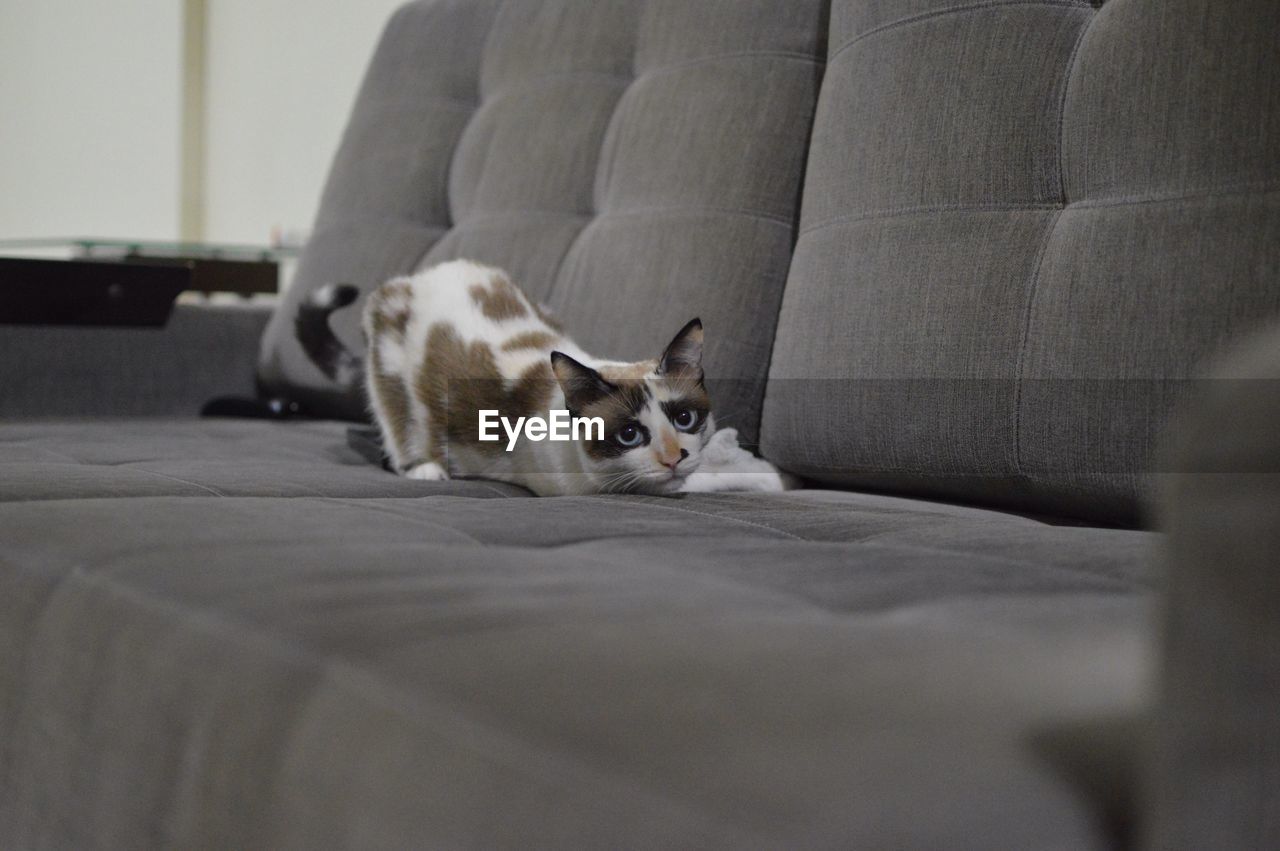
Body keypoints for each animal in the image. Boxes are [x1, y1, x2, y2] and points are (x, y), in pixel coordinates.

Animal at [303, 262, 793, 493]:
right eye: (629, 434)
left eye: (684, 419)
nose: (674, 457)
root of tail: (416, 277)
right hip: (391, 371)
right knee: (399, 428)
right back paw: (425, 468)